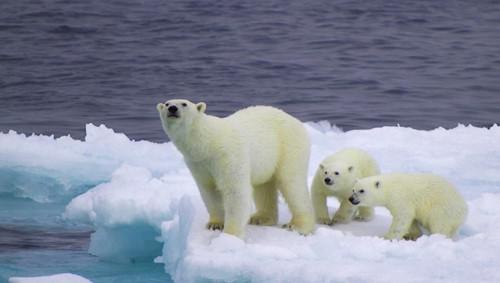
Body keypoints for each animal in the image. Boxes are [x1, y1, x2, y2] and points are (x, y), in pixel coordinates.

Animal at [157, 98, 312, 239]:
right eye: (166, 103)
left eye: (184, 104)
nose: (172, 108)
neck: (207, 143)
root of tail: (296, 121)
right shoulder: (198, 163)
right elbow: (209, 191)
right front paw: (215, 224)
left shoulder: (228, 155)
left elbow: (235, 191)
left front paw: (230, 235)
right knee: (264, 186)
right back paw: (261, 218)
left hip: (288, 146)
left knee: (292, 183)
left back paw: (299, 226)